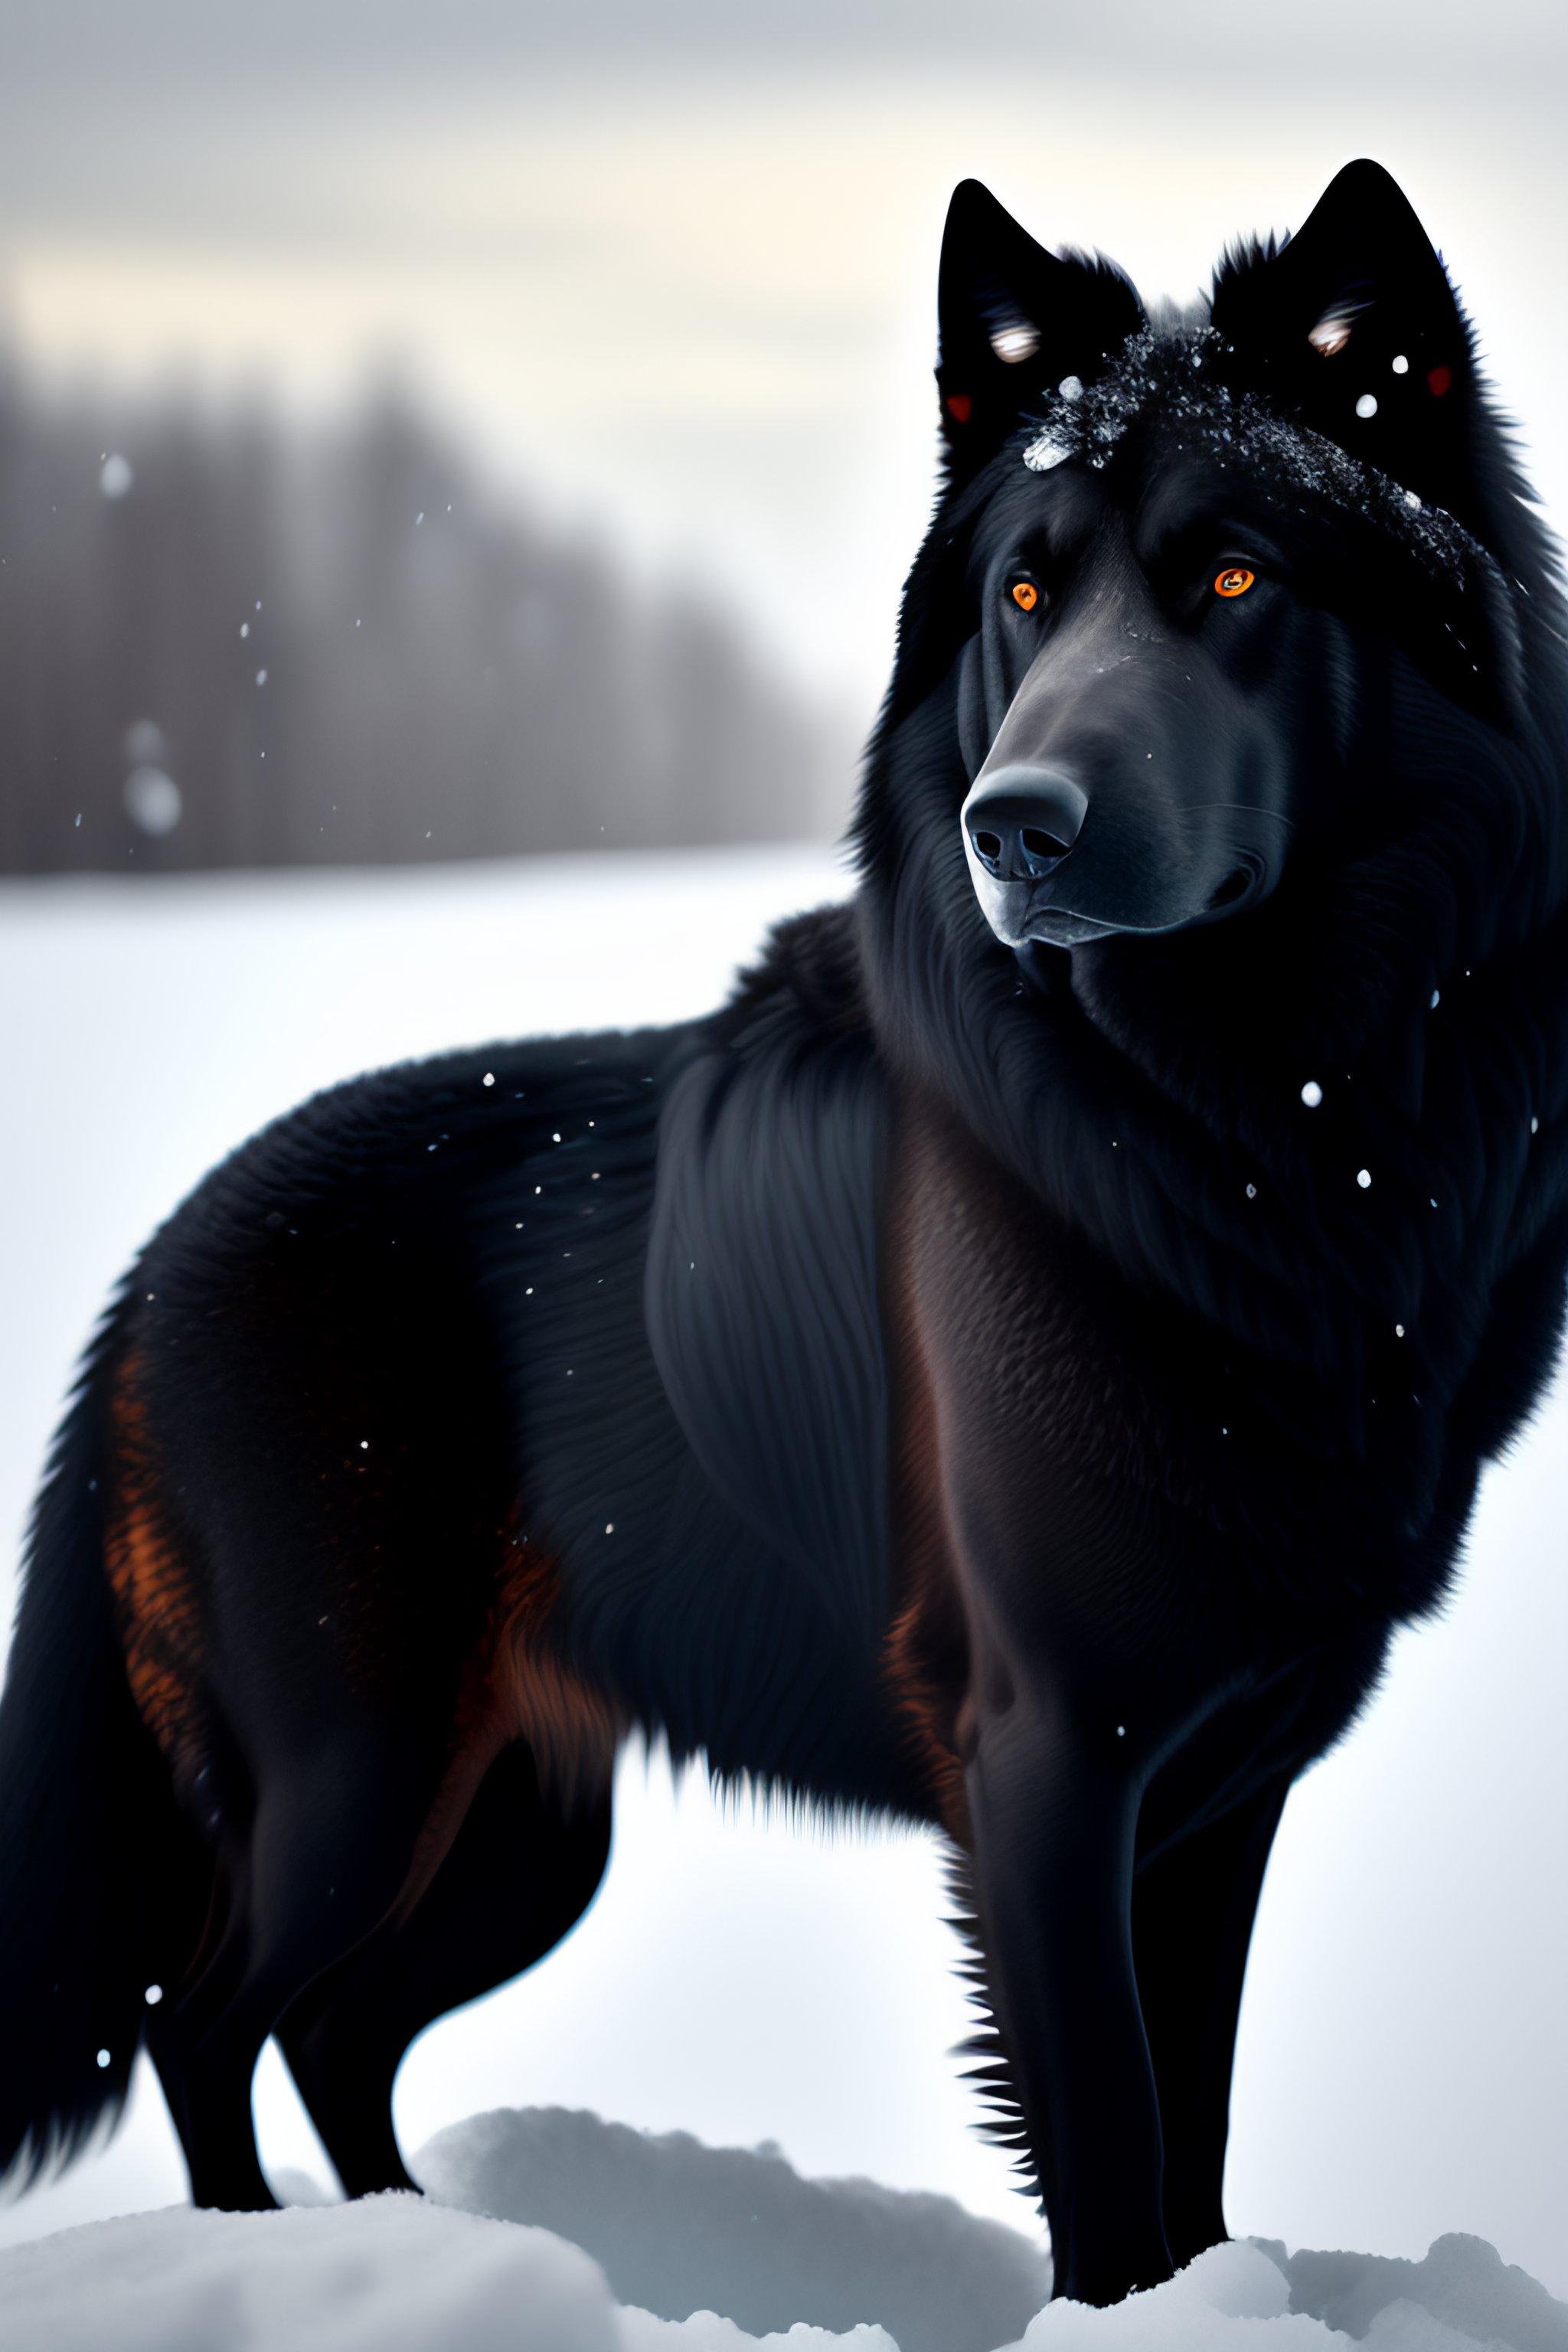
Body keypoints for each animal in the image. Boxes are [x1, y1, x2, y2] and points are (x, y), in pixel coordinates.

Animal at [3, 161, 1565, 2309]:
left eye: (1236, 581)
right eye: (1021, 597)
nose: (1015, 826)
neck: (1252, 1139)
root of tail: (149, 1271)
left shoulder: (1214, 1799)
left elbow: (1194, 2136)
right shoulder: (1049, 1759)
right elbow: (1104, 2140)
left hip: (518, 1836)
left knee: (326, 2024)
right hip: (361, 1774)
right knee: (203, 2015)